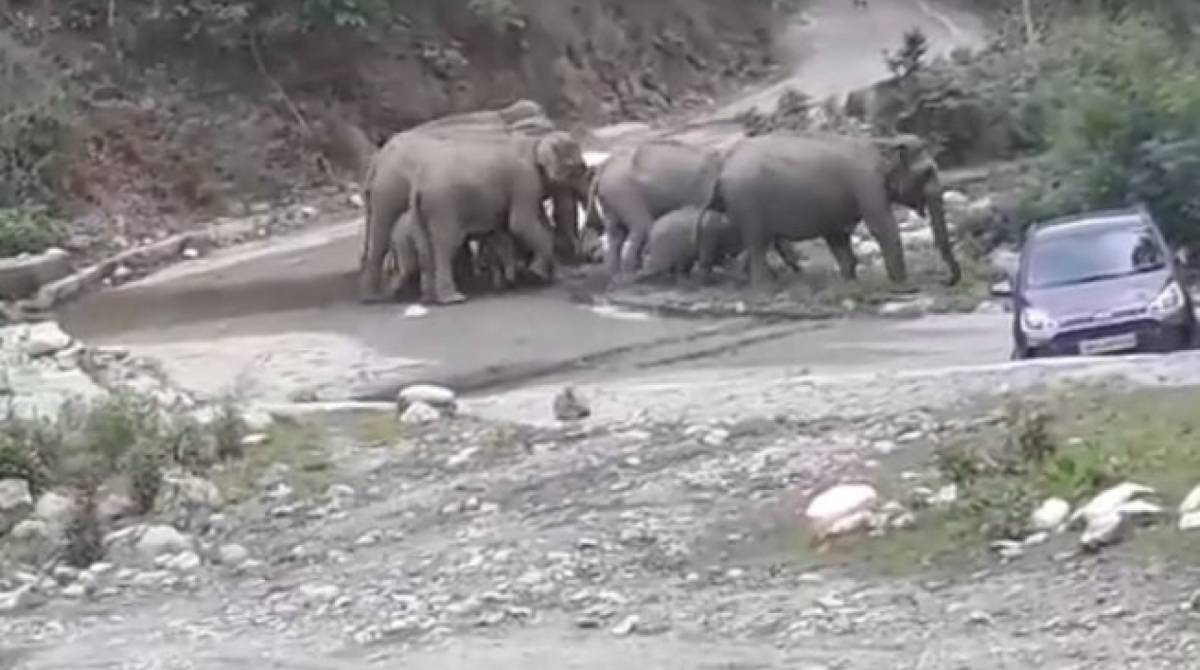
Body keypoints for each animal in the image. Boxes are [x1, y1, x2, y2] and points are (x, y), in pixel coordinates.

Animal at [407, 131, 590, 304]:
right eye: (578, 168)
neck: (537, 141)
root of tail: (419, 186)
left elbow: (535, 223)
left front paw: (545, 275)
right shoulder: (524, 180)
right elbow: (521, 223)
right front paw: (536, 274)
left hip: (419, 211)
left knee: (424, 249)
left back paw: (429, 299)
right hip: (443, 207)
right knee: (446, 246)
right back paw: (453, 298)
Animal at [585, 139, 725, 279]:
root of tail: (601, 170)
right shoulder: (702, 193)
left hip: (610, 198)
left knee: (615, 233)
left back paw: (617, 276)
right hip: (624, 192)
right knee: (641, 226)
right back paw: (631, 275)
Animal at [708, 132, 961, 290]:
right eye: (927, 172)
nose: (946, 281)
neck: (882, 142)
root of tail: (723, 170)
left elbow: (837, 236)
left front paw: (851, 284)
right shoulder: (867, 184)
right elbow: (883, 229)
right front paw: (904, 285)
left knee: (760, 245)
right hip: (747, 205)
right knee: (758, 244)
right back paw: (765, 289)